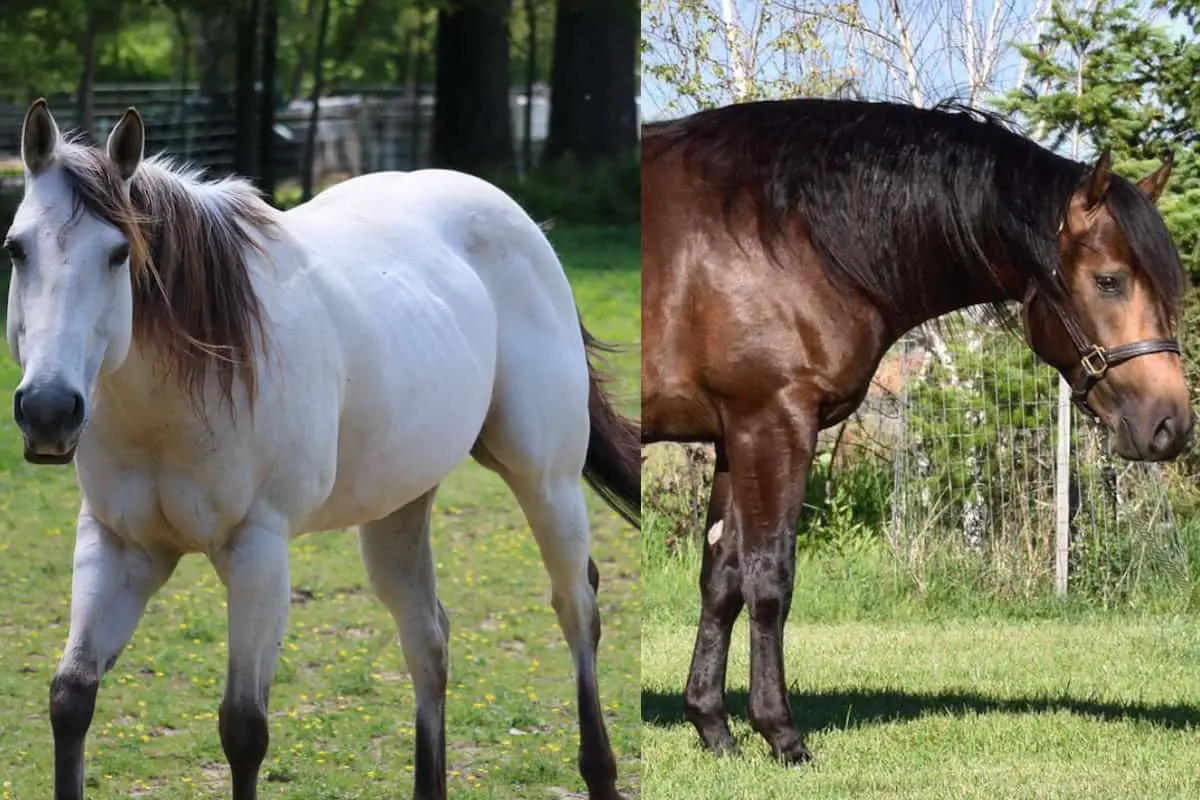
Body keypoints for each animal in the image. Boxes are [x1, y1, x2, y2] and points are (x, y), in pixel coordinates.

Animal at [4, 100, 643, 800]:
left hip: (546, 481)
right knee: (428, 639)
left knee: (577, 609)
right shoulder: (118, 545)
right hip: (398, 508)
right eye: (15, 249)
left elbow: (243, 729)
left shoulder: (257, 551)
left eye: (120, 254)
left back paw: (601, 769)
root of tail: (524, 226)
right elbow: (71, 698)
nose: (48, 410)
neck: (176, 400)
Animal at [643, 98, 1185, 762]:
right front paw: (781, 734)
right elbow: (769, 578)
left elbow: (721, 576)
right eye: (1109, 279)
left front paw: (714, 728)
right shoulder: (773, 422)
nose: (1171, 424)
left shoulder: (733, 435)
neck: (793, 236)